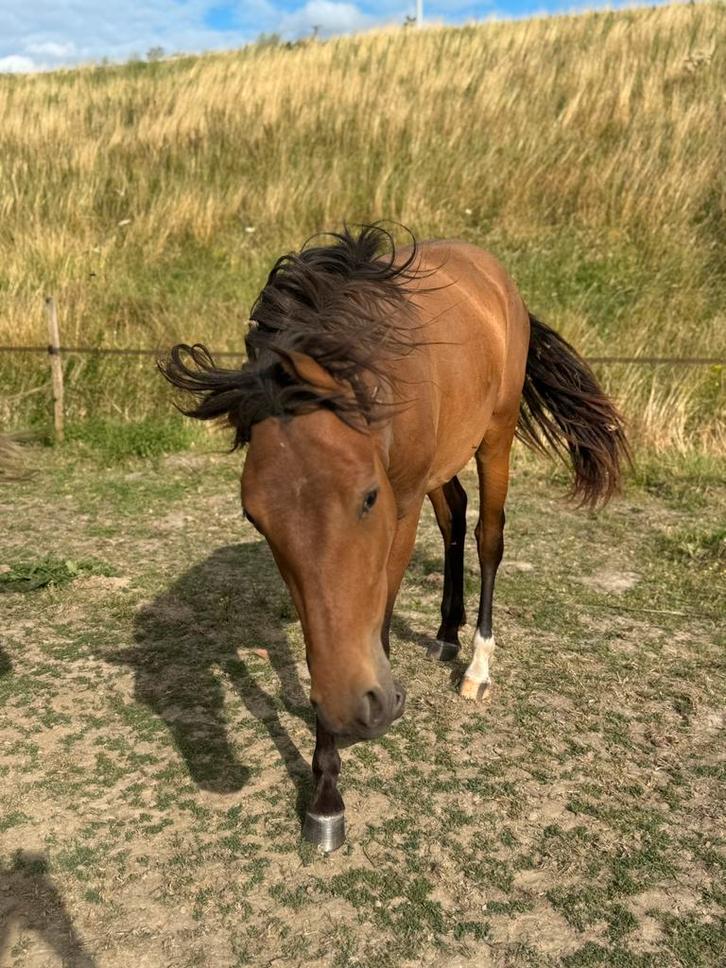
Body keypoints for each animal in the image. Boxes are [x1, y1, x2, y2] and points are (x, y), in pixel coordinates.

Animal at [160, 225, 629, 850]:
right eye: (253, 516)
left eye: (367, 497)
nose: (358, 708)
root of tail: (496, 277)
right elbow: (328, 642)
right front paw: (326, 792)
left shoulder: (399, 512)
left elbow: (372, 619)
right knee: (454, 516)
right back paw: (447, 632)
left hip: (495, 436)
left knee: (488, 537)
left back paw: (477, 666)